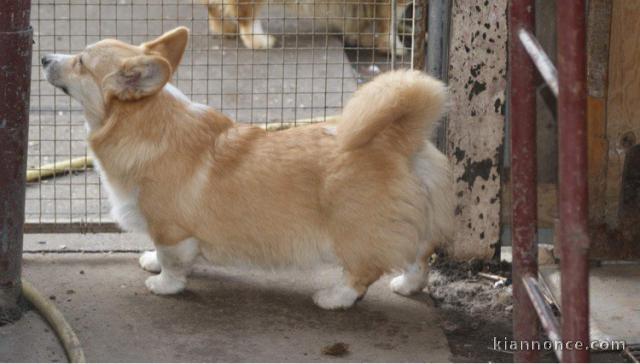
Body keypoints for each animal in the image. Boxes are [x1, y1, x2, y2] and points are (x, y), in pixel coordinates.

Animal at [42, 27, 452, 308]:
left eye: (81, 62)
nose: (44, 57)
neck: (146, 123)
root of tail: (399, 139)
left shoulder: (171, 230)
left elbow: (172, 262)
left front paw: (163, 285)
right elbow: (161, 255)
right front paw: (151, 262)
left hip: (353, 233)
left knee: (363, 274)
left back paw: (333, 297)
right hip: (416, 223)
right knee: (420, 256)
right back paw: (407, 286)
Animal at [200, 0, 410, 55]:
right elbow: (389, 23)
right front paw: (394, 47)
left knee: (213, 6)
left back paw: (226, 30)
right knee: (245, 17)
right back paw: (260, 41)